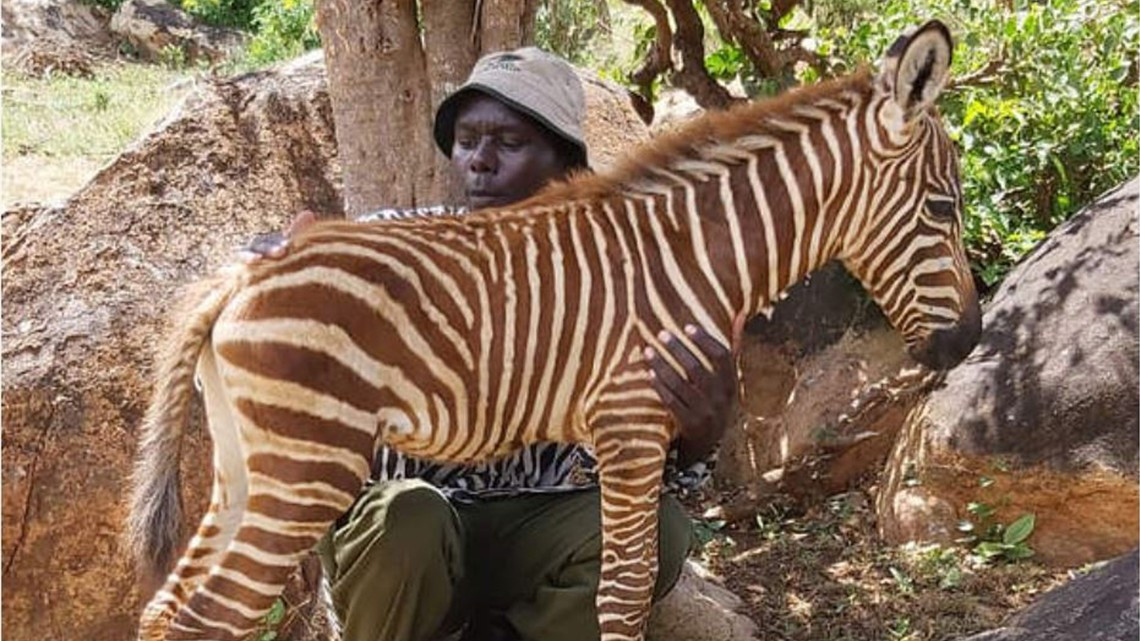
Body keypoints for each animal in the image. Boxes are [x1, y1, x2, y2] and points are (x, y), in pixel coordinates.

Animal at [128, 20, 979, 641]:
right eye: (945, 209)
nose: (968, 344)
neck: (692, 253)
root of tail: (239, 277)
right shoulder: (632, 421)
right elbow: (624, 596)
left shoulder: (634, 428)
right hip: (307, 468)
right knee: (212, 614)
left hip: (247, 463)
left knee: (166, 610)